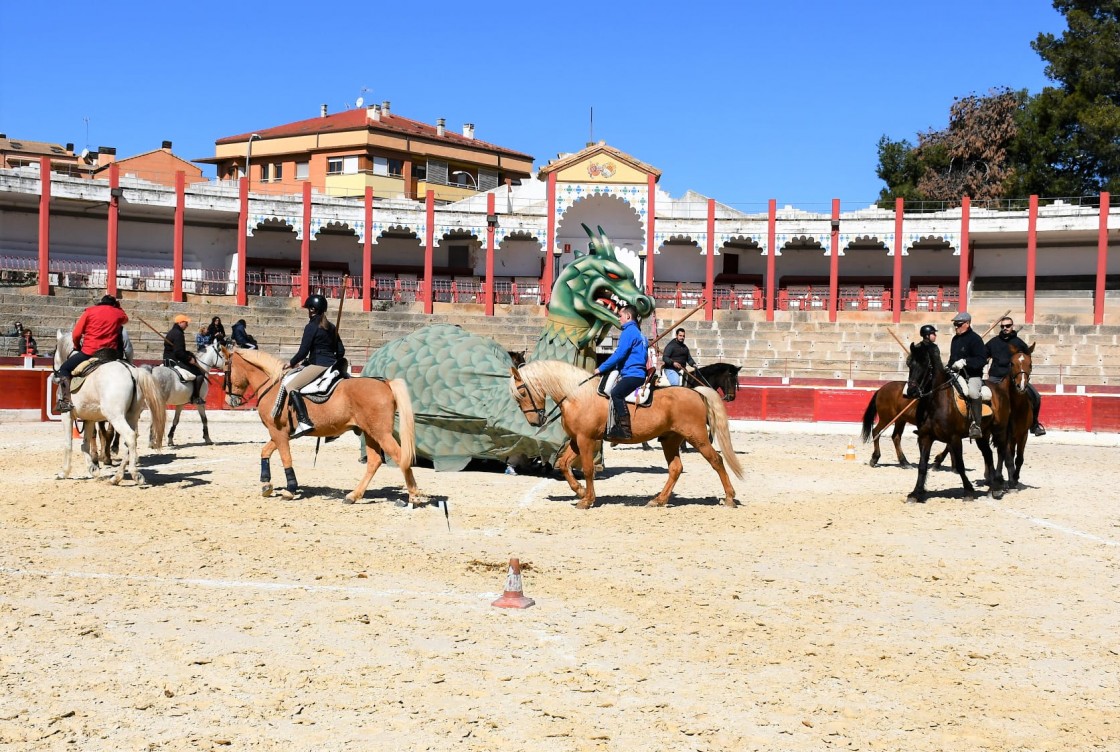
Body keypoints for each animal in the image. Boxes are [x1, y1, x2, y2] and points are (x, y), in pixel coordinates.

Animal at [53, 331, 165, 486]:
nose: (55, 375)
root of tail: (131, 371)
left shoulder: (66, 415)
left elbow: (68, 444)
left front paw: (64, 472)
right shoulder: (89, 418)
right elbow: (85, 443)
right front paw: (93, 469)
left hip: (116, 416)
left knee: (130, 436)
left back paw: (134, 473)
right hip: (131, 415)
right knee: (130, 440)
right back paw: (116, 477)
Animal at [222, 349, 423, 506]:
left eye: (225, 370)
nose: (229, 401)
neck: (272, 386)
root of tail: (385, 383)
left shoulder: (278, 432)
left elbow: (286, 458)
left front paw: (290, 489)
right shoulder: (280, 434)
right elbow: (265, 451)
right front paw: (266, 484)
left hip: (381, 434)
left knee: (400, 457)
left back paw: (413, 496)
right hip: (370, 434)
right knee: (374, 462)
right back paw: (352, 496)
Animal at [510, 360, 743, 511]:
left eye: (521, 392)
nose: (534, 421)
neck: (577, 396)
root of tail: (695, 392)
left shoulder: (586, 439)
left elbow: (587, 469)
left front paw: (587, 500)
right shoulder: (576, 440)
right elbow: (563, 464)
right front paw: (580, 491)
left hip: (697, 438)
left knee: (717, 460)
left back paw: (730, 497)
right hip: (670, 439)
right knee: (676, 469)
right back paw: (659, 500)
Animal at [900, 340, 1008, 506]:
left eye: (925, 363)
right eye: (909, 363)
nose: (910, 392)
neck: (935, 402)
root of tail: (999, 390)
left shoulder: (954, 438)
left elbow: (960, 465)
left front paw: (968, 491)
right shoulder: (925, 437)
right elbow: (922, 466)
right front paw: (916, 493)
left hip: (999, 431)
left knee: (1001, 453)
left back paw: (996, 487)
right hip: (983, 435)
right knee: (988, 454)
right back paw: (991, 488)